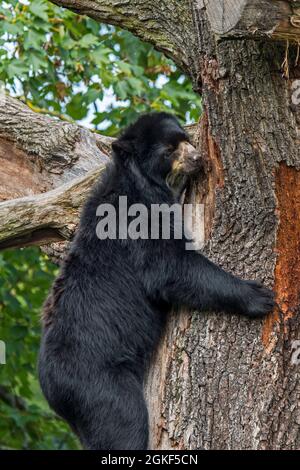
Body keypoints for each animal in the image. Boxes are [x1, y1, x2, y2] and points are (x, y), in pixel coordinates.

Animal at [38, 112, 274, 450]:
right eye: (168, 151)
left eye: (185, 139)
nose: (198, 158)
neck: (138, 183)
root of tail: (49, 386)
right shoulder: (139, 221)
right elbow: (170, 267)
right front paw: (258, 295)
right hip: (98, 383)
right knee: (123, 425)